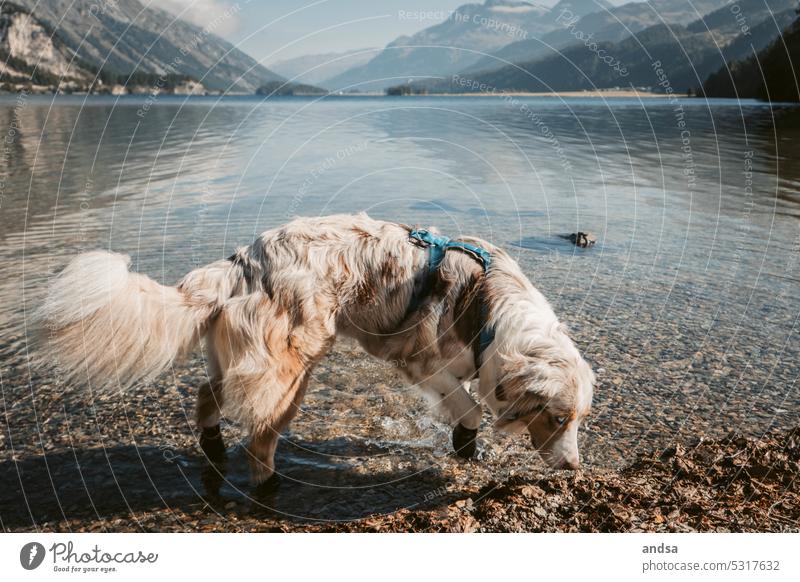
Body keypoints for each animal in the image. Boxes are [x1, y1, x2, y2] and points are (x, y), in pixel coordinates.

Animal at [37, 217, 592, 500]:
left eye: (578, 421)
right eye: (556, 418)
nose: (573, 468)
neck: (490, 309)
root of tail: (244, 260)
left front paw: (466, 449)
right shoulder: (423, 363)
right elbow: (471, 407)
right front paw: (466, 443)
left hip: (236, 356)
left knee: (207, 395)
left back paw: (214, 449)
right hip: (291, 369)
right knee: (259, 437)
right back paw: (271, 484)